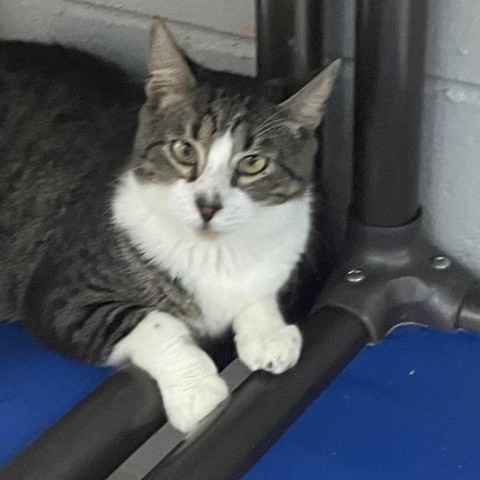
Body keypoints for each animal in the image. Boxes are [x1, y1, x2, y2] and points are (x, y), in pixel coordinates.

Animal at [0, 17, 342, 432]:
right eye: (184, 150)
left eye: (253, 163)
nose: (208, 205)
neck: (215, 253)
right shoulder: (61, 295)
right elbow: (155, 321)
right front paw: (197, 390)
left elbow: (259, 292)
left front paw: (269, 333)